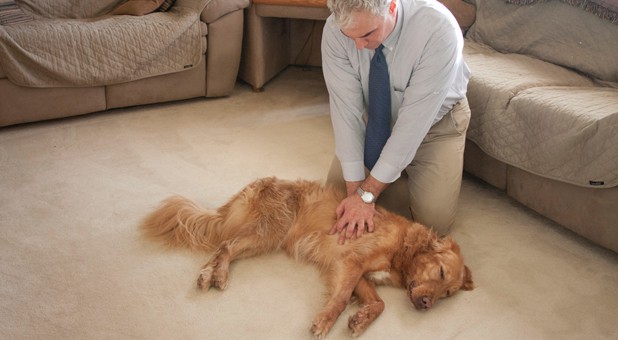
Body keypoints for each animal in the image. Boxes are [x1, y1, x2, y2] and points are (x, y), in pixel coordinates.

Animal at [142, 178, 474, 338]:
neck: (403, 248)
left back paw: (209, 274)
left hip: (266, 238)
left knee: (224, 246)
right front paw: (326, 321)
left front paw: (360, 320)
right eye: (441, 272)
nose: (427, 304)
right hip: (270, 230)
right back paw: (218, 275)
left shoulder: (359, 274)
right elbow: (341, 299)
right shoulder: (349, 263)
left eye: (447, 294)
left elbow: (378, 304)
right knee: (226, 245)